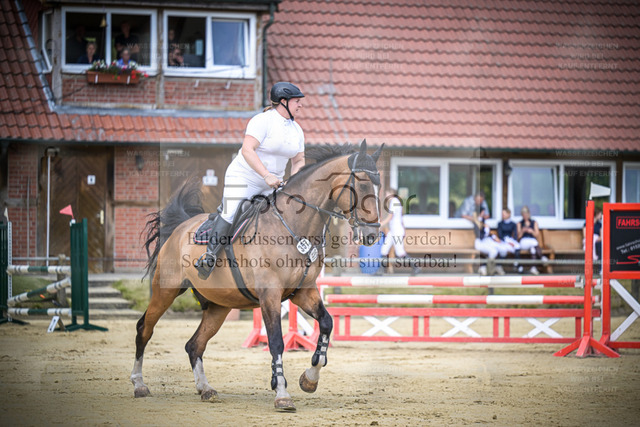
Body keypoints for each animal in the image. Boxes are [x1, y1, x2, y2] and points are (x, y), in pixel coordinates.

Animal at [131, 140, 383, 411]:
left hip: (219, 305)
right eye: (363, 184)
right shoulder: (269, 294)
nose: (371, 235)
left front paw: (309, 379)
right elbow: (276, 341)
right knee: (145, 327)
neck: (295, 226)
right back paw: (139, 384)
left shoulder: (303, 291)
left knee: (194, 344)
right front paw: (282, 393)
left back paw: (205, 389)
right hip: (166, 290)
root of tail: (180, 227)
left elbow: (326, 323)